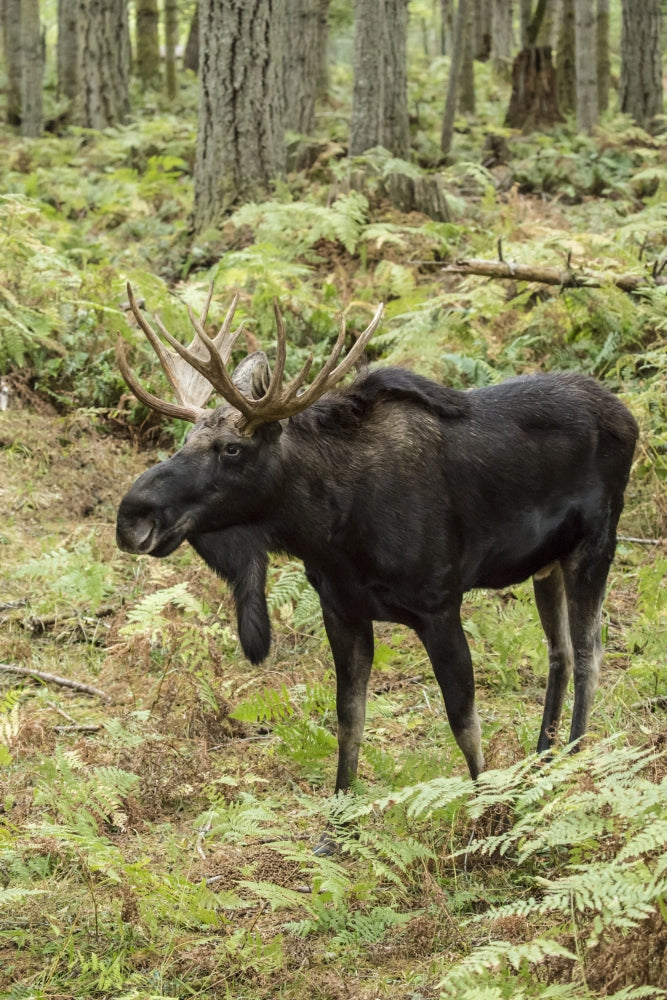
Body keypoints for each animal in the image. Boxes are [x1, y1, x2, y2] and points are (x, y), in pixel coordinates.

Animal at [116, 284, 638, 805]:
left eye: (231, 448)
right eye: (185, 439)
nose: (131, 516)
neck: (333, 533)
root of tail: (628, 418)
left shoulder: (439, 605)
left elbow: (464, 724)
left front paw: (486, 806)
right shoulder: (341, 609)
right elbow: (349, 719)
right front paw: (339, 813)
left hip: (595, 545)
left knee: (590, 653)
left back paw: (574, 755)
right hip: (547, 565)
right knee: (560, 653)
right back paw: (542, 758)